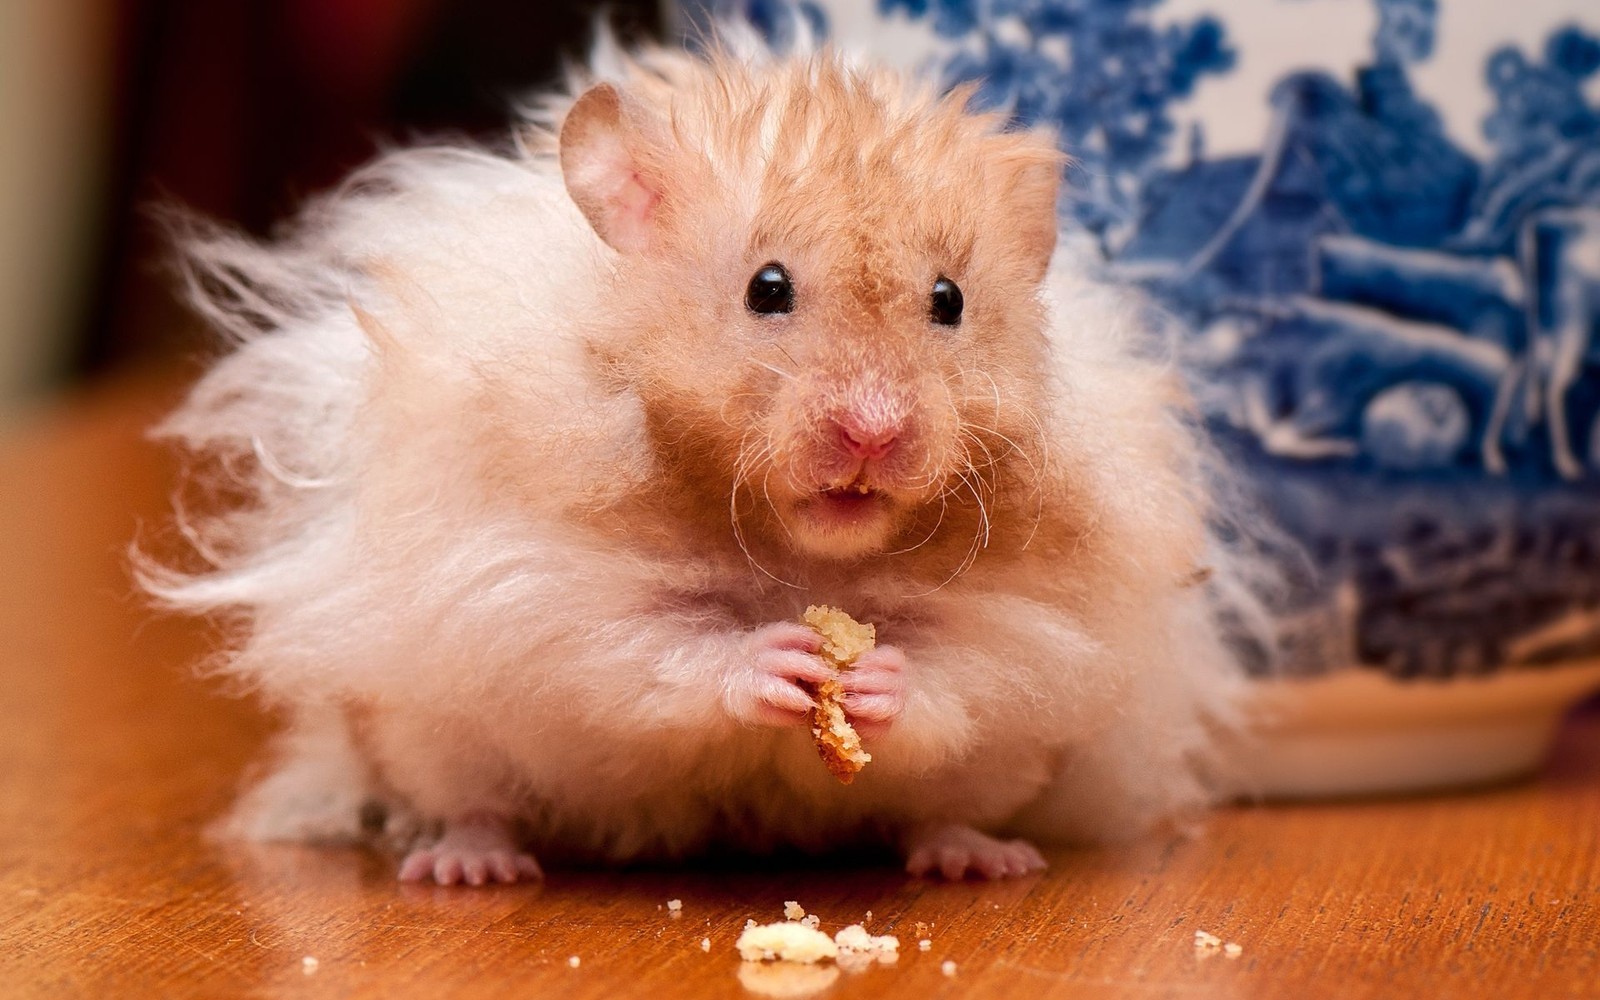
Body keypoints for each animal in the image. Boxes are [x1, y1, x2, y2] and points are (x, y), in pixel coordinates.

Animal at [140, 23, 1248, 883]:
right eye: (767, 288)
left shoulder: (1045, 626)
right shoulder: (531, 585)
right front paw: (778, 658)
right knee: (475, 799)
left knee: (943, 807)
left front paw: (874, 680)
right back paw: (467, 866)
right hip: (427, 730)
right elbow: (648, 647)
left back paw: (981, 857)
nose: (874, 433)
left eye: (950, 300)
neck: (800, 552)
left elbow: (964, 667)